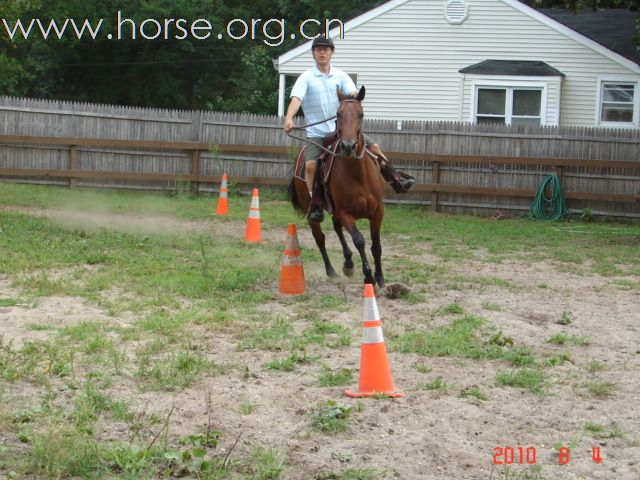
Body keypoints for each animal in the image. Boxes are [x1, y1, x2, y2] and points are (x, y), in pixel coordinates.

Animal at [288, 86, 388, 288]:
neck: (359, 177)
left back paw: (348, 263)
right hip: (312, 209)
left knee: (336, 228)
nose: (348, 146)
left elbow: (376, 246)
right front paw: (369, 277)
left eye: (361, 114)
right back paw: (332, 271)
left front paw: (380, 278)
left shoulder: (377, 212)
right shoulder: (345, 213)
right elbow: (359, 240)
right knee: (320, 238)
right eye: (339, 114)